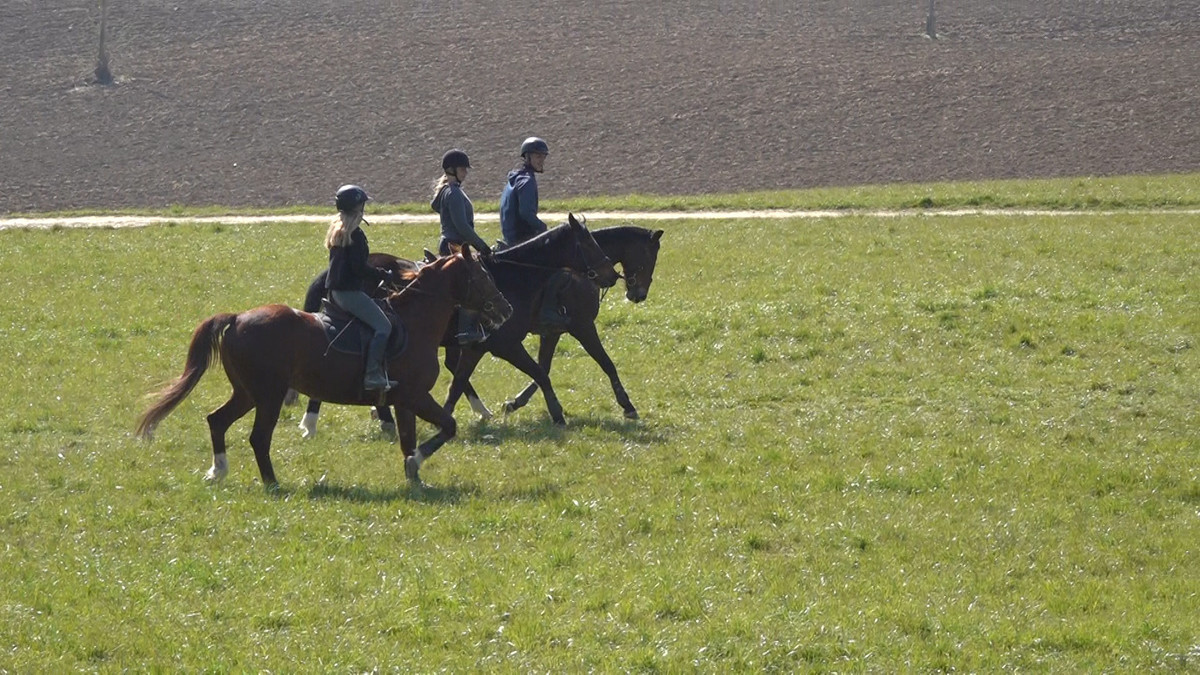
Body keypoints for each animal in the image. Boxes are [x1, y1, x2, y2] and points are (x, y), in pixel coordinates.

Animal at [136, 246, 511, 482]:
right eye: (482, 277)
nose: (506, 308)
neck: (416, 319)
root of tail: (238, 318)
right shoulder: (415, 396)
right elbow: (447, 426)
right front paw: (416, 461)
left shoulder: (404, 401)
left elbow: (410, 438)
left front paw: (414, 474)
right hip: (268, 396)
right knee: (258, 438)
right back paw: (272, 483)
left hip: (247, 393)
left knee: (217, 421)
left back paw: (218, 471)